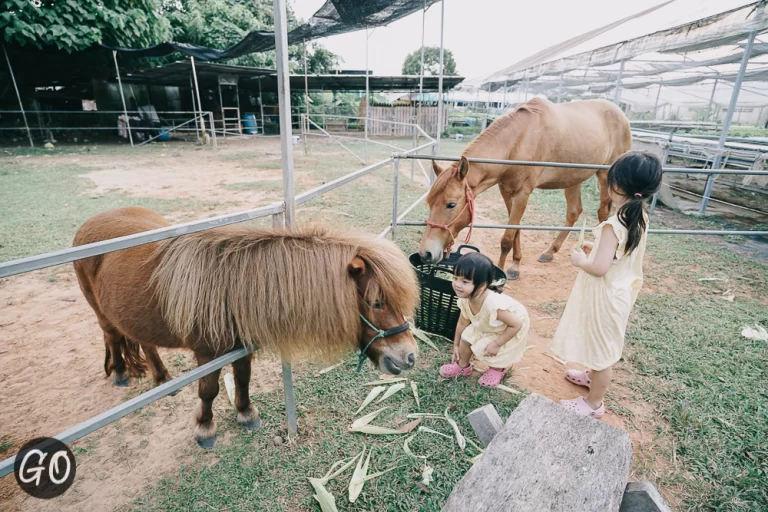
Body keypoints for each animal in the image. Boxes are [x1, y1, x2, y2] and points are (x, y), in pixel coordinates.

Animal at [73, 206, 420, 446]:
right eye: (377, 302)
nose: (410, 356)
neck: (232, 287)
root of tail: (89, 223)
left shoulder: (240, 347)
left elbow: (242, 379)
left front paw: (245, 413)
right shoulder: (207, 354)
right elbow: (209, 390)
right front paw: (205, 428)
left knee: (144, 340)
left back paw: (162, 378)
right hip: (100, 312)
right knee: (112, 336)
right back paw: (120, 373)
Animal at [420, 97, 632, 278]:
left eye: (451, 204)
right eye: (429, 203)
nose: (426, 253)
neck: (518, 141)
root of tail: (621, 115)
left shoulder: (523, 193)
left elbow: (507, 238)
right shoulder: (507, 192)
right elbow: (516, 230)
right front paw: (515, 265)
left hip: (604, 178)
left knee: (603, 213)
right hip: (573, 179)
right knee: (574, 212)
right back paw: (549, 252)